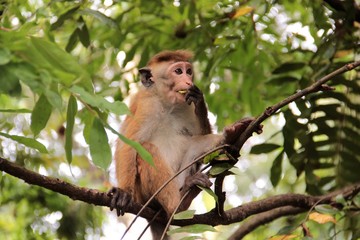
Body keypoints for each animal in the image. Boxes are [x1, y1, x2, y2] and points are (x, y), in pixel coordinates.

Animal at [107, 49, 262, 239]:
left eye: (188, 71)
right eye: (178, 71)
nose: (188, 81)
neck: (167, 104)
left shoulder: (186, 105)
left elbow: (199, 134)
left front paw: (201, 101)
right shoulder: (147, 106)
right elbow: (130, 144)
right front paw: (123, 192)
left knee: (194, 144)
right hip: (143, 196)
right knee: (147, 150)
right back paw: (177, 206)